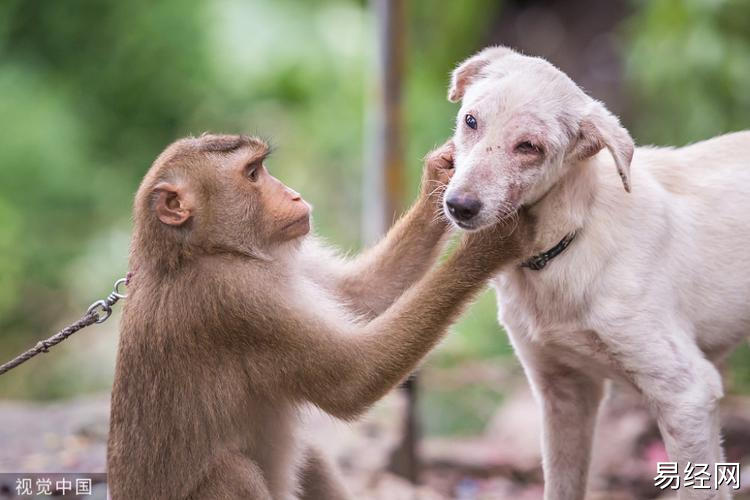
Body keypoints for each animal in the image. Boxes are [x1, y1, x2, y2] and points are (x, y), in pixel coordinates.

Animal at [107, 134, 536, 500]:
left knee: (309, 456)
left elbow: (360, 295)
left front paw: (440, 175)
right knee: (232, 472)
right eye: (252, 174)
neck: (198, 250)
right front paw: (491, 245)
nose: (293, 194)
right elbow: (352, 379)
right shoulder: (234, 298)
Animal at [444, 45, 748, 498]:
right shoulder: (564, 393)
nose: (459, 206)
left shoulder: (688, 393)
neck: (568, 244)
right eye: (470, 121)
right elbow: (562, 486)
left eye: (529, 146)